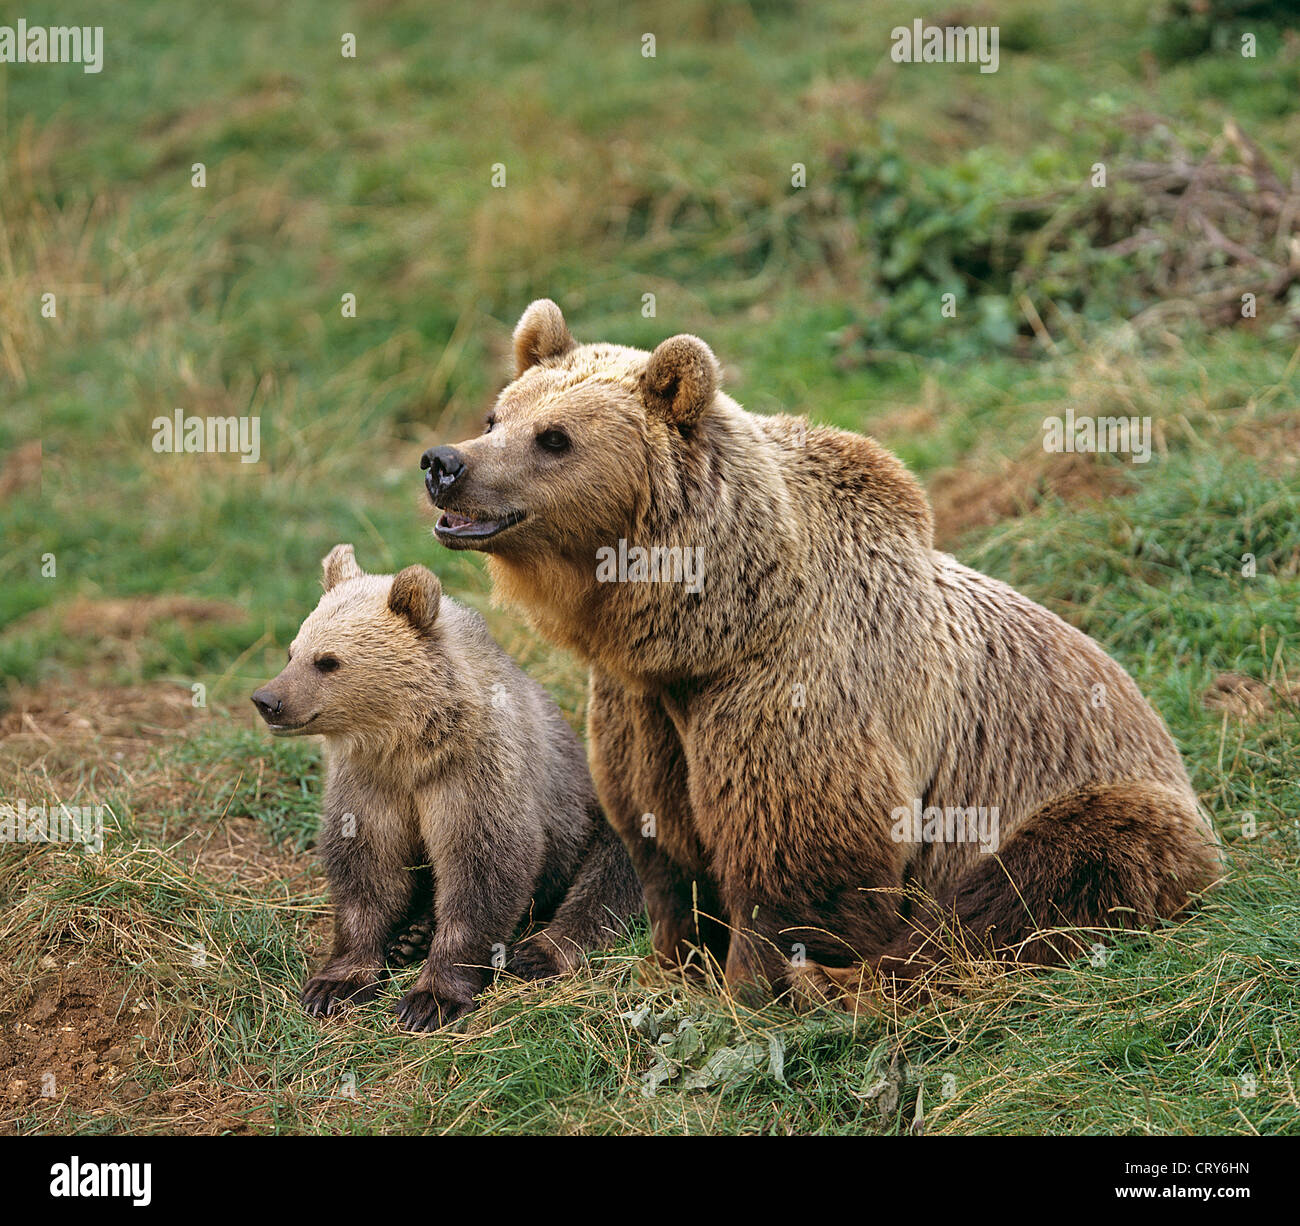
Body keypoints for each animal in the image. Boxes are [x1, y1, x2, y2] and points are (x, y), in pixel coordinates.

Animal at [250, 542, 642, 1030]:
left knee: (610, 875)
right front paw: (335, 984)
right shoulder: (370, 784)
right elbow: (365, 868)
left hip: (592, 810)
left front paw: (430, 999)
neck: (409, 747)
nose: (268, 700)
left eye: (328, 661)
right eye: (292, 652)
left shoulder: (475, 775)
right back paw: (412, 935)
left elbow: (484, 868)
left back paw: (539, 952)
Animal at [418, 299, 1223, 1012]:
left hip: (1085, 796)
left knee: (1037, 880)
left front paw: (756, 985)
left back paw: (860, 979)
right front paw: (672, 965)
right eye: (498, 417)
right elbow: (663, 837)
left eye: (554, 438)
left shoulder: (791, 690)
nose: (444, 463)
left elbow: (798, 854)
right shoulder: (643, 706)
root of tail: (1153, 720)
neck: (712, 625)